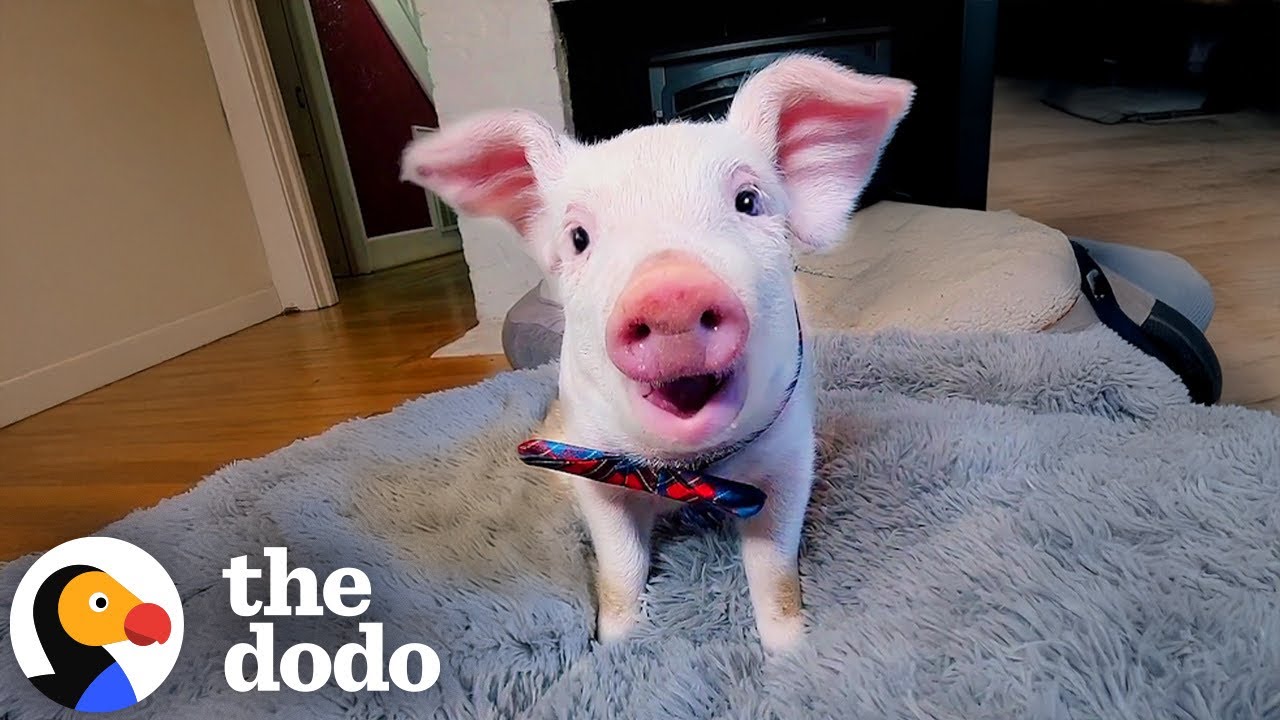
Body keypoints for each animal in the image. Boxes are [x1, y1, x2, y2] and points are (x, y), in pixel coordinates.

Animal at [400, 54, 914, 653]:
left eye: (748, 201)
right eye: (578, 237)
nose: (671, 291)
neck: (680, 472)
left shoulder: (790, 457)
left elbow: (775, 571)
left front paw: (791, 654)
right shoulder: (595, 464)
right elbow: (619, 570)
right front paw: (614, 647)